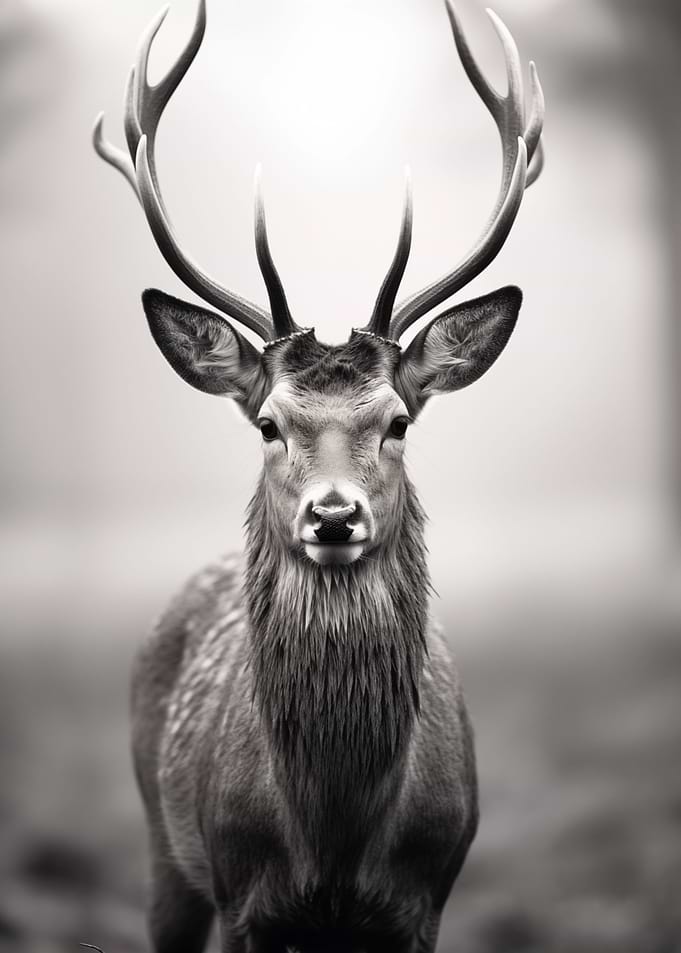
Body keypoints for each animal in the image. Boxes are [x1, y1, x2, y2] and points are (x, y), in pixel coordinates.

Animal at [93, 1, 543, 950]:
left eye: (398, 421)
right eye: (268, 423)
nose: (332, 517)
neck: (334, 834)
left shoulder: (426, 892)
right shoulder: (241, 893)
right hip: (162, 845)